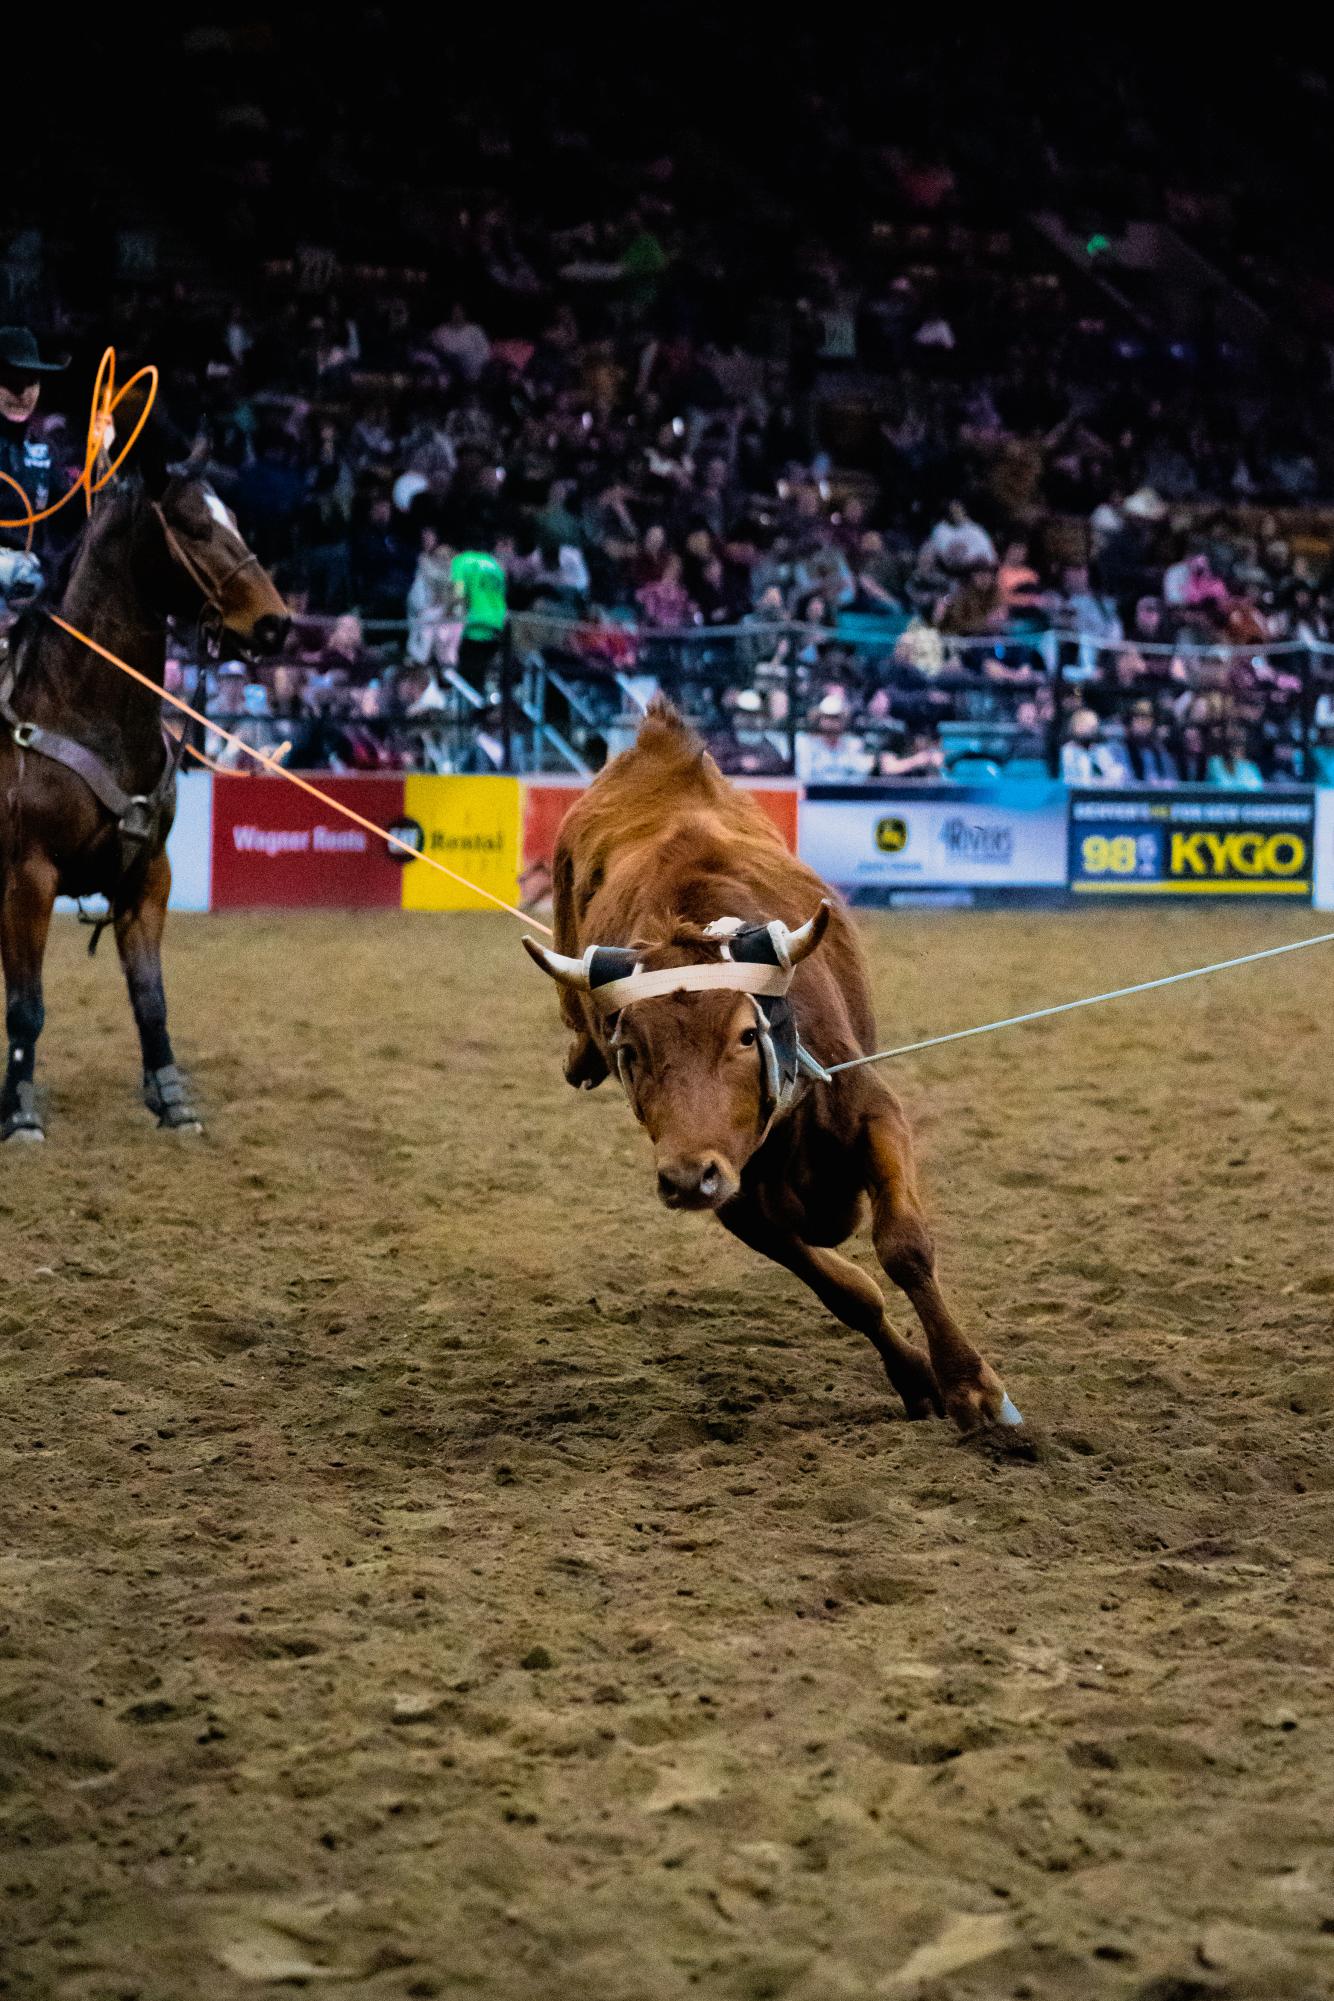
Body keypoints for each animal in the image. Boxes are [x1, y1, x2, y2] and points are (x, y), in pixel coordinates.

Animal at [0, 458, 290, 1144]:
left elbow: (151, 1000)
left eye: (235, 519)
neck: (86, 716)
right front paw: (20, 1114)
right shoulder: (28, 876)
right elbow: (26, 1006)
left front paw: (172, 1101)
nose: (276, 622)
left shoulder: (148, 876)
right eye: (192, 525)